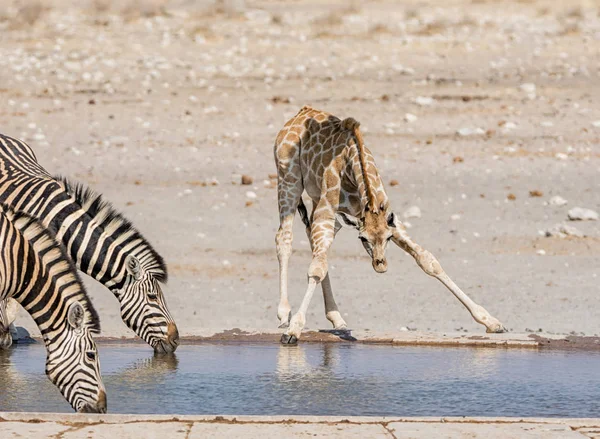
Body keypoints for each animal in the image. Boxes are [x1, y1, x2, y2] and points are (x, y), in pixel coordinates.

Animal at [274, 105, 506, 344]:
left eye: (387, 238)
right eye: (362, 238)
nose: (380, 265)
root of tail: (300, 114)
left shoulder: (389, 220)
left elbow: (428, 260)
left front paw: (491, 322)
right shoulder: (326, 211)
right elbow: (316, 269)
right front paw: (293, 329)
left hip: (316, 203)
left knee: (313, 243)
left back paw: (337, 319)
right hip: (288, 181)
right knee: (285, 238)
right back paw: (284, 313)